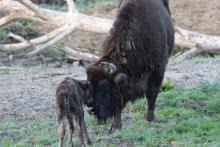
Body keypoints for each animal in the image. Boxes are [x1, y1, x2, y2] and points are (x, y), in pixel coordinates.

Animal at [86, 0, 174, 132]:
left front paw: (150, 118)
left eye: (104, 86)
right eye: (89, 85)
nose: (91, 110)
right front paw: (115, 126)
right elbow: (119, 103)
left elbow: (151, 93)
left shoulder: (158, 68)